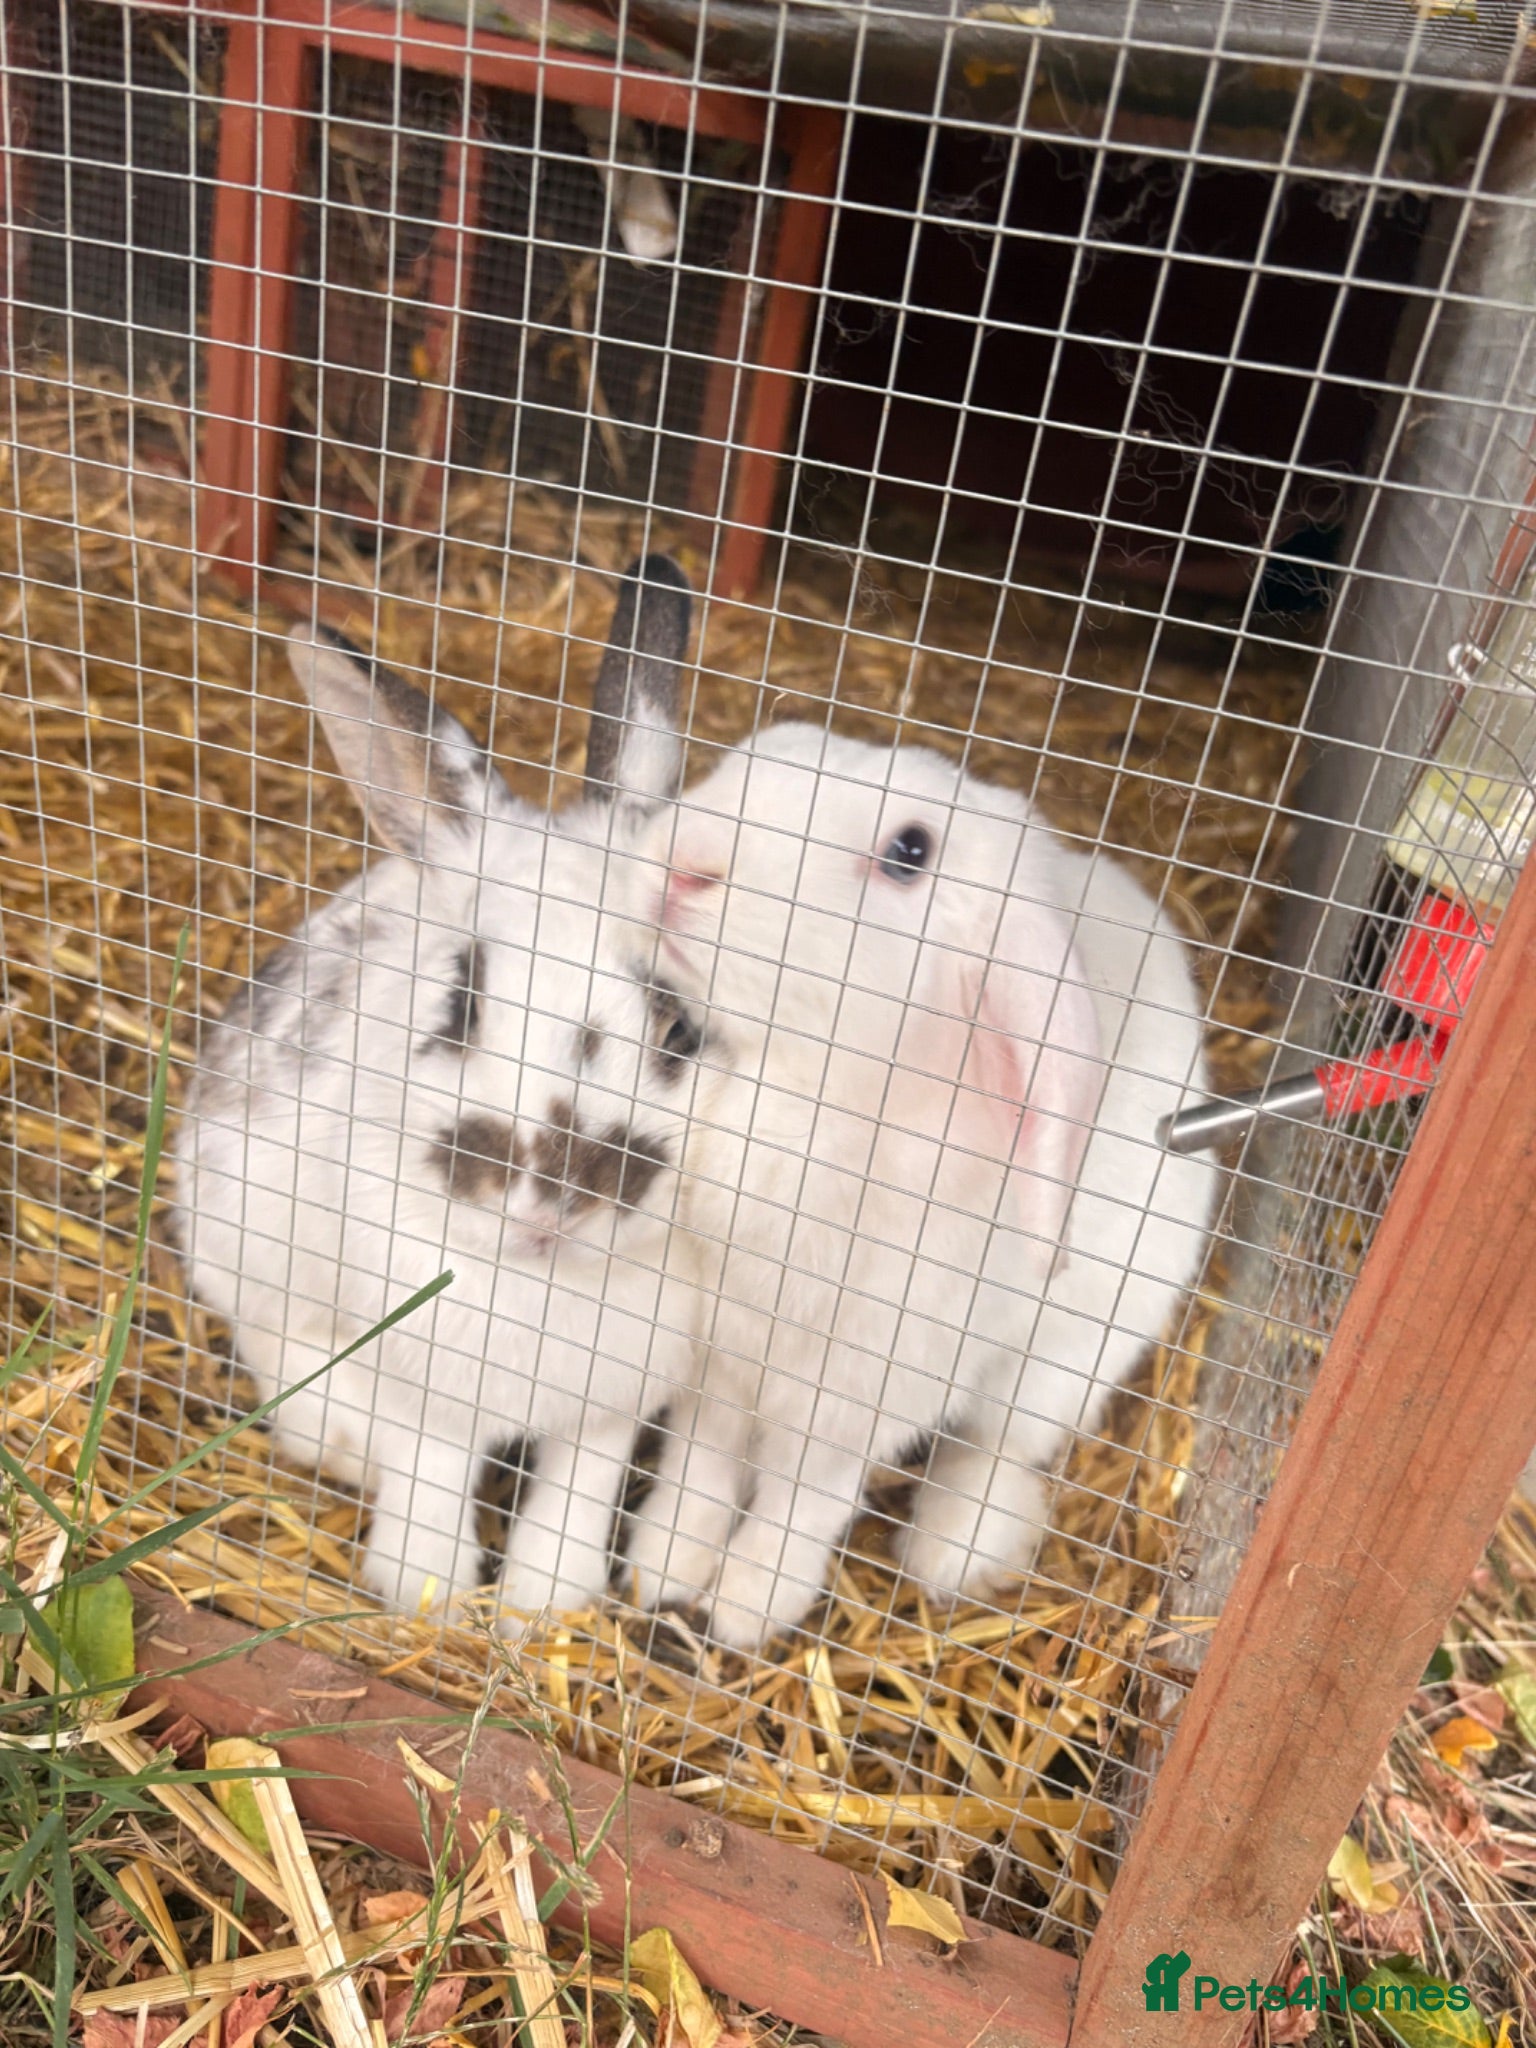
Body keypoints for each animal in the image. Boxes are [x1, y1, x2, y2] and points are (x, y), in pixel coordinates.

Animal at [173, 556, 719, 1626]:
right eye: (462, 1000)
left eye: (678, 1028)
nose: (552, 1190)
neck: (541, 1281)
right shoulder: (423, 1378)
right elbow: (428, 1477)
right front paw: (422, 1592)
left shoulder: (611, 1407)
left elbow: (575, 1498)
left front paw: (542, 1606)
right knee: (274, 1343)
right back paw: (339, 1442)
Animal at [622, 723, 1220, 1649]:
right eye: (768, 744)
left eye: (909, 852)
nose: (682, 862)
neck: (800, 1088)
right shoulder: (714, 1355)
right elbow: (704, 1458)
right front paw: (665, 1565)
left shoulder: (861, 1394)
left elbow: (803, 1497)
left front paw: (748, 1606)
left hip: (1061, 1367)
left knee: (996, 1451)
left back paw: (950, 1553)